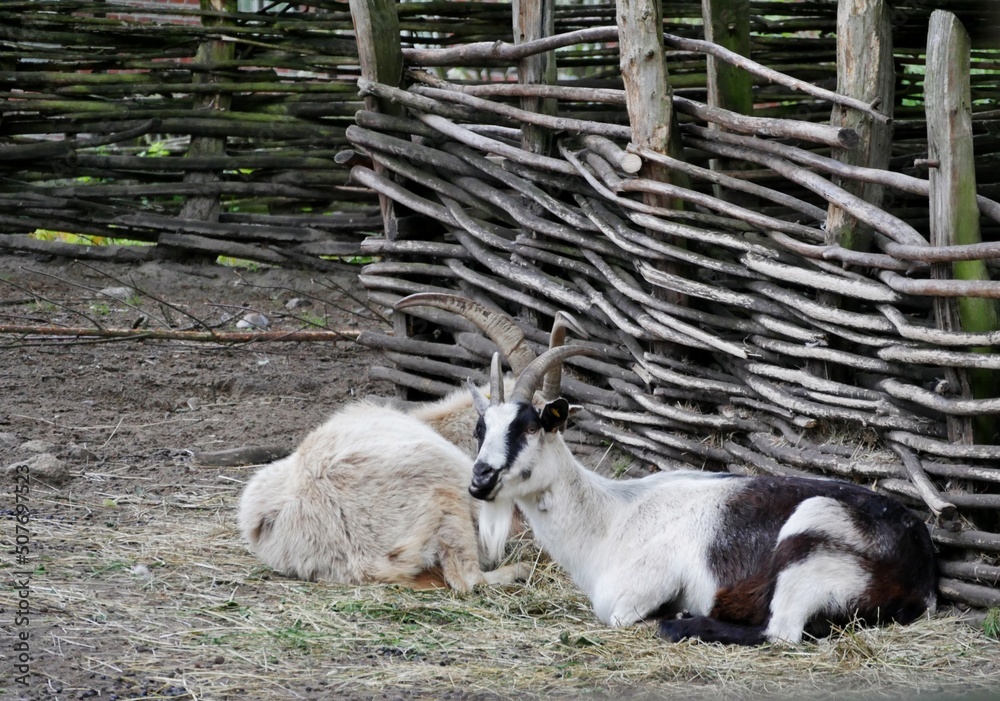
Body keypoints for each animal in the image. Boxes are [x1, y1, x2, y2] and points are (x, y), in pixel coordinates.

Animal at [467, 347, 938, 644]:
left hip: (812, 536)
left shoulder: (638, 591)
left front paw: (672, 615)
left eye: (530, 426)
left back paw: (680, 624)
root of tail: (923, 570)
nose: (480, 479)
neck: (612, 519)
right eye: (480, 428)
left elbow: (621, 617)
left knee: (781, 633)